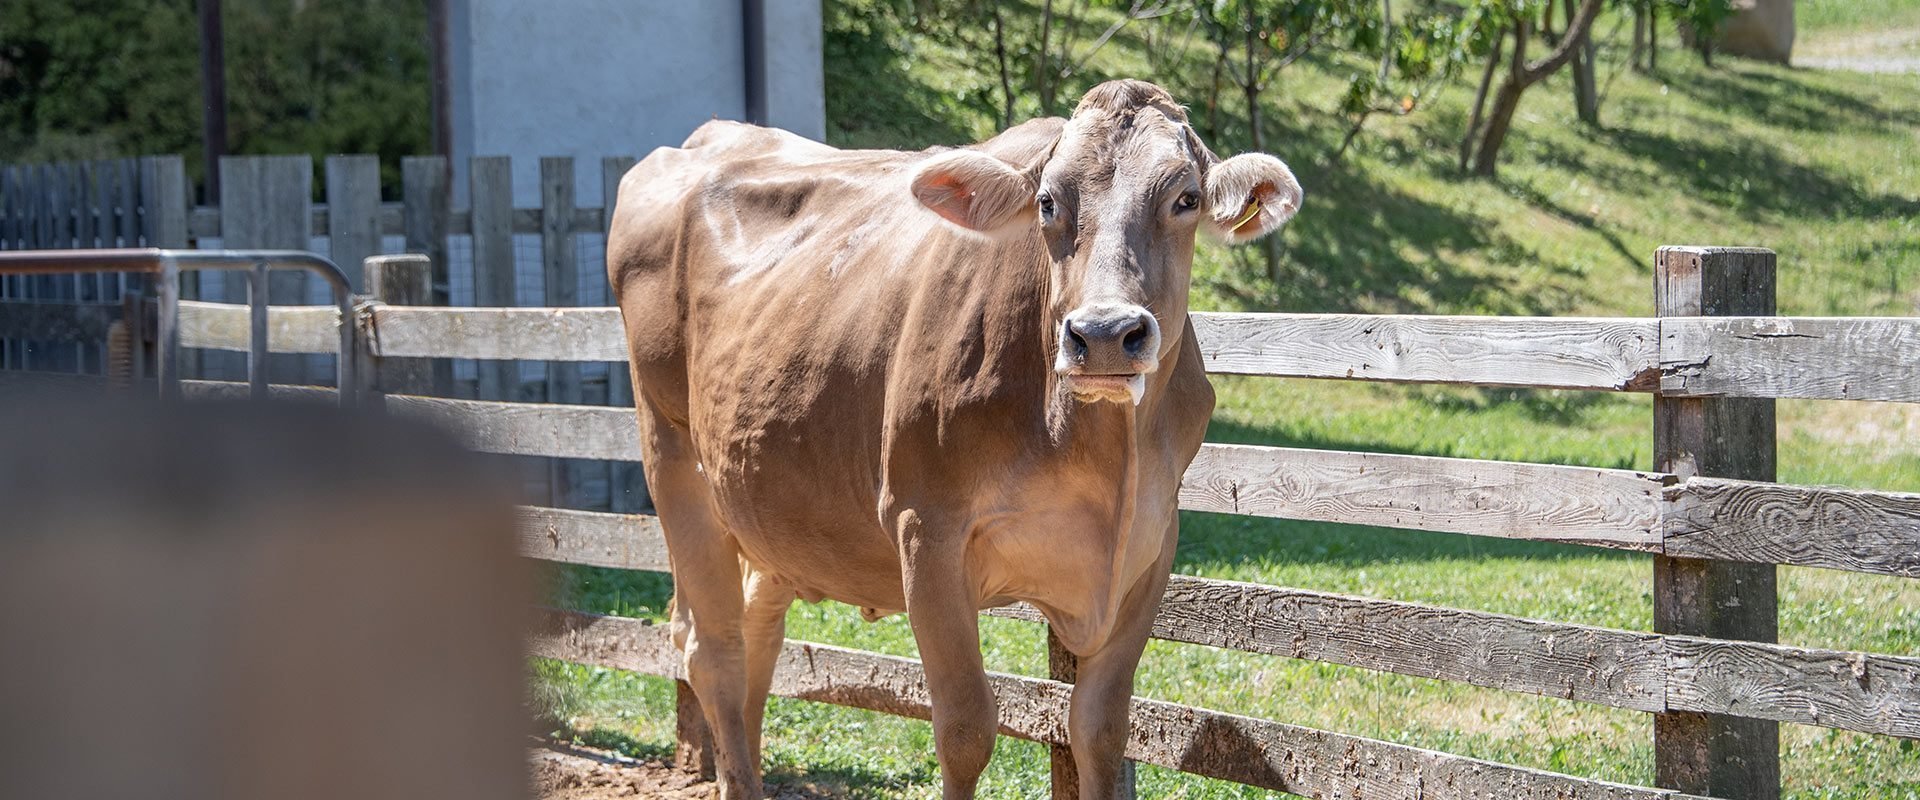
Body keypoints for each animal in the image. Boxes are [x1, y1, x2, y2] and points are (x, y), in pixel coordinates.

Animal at [610, 76, 1305, 798]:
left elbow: (1102, 727)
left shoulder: (1150, 544)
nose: (1106, 333)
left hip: (768, 505)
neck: (1101, 452)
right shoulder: (927, 530)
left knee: (758, 634)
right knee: (712, 649)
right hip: (673, 455)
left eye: (1186, 198)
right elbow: (967, 727)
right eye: (1048, 201)